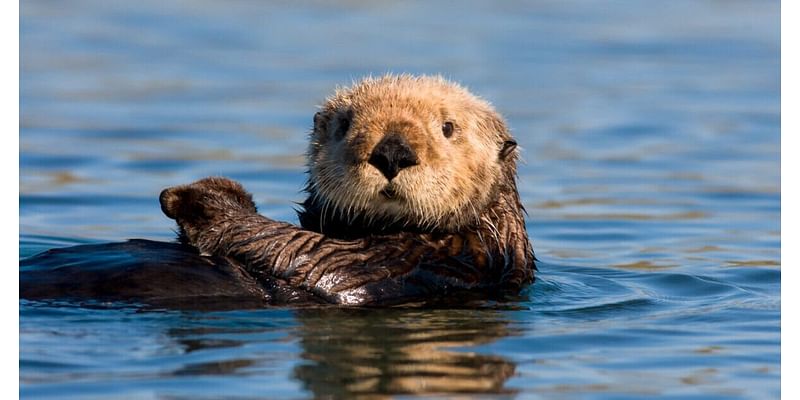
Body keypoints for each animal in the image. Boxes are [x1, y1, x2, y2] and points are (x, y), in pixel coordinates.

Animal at [21, 74, 536, 306]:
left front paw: (197, 199)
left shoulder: (430, 262)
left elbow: (308, 254)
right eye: (347, 124)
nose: (392, 152)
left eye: (448, 128)